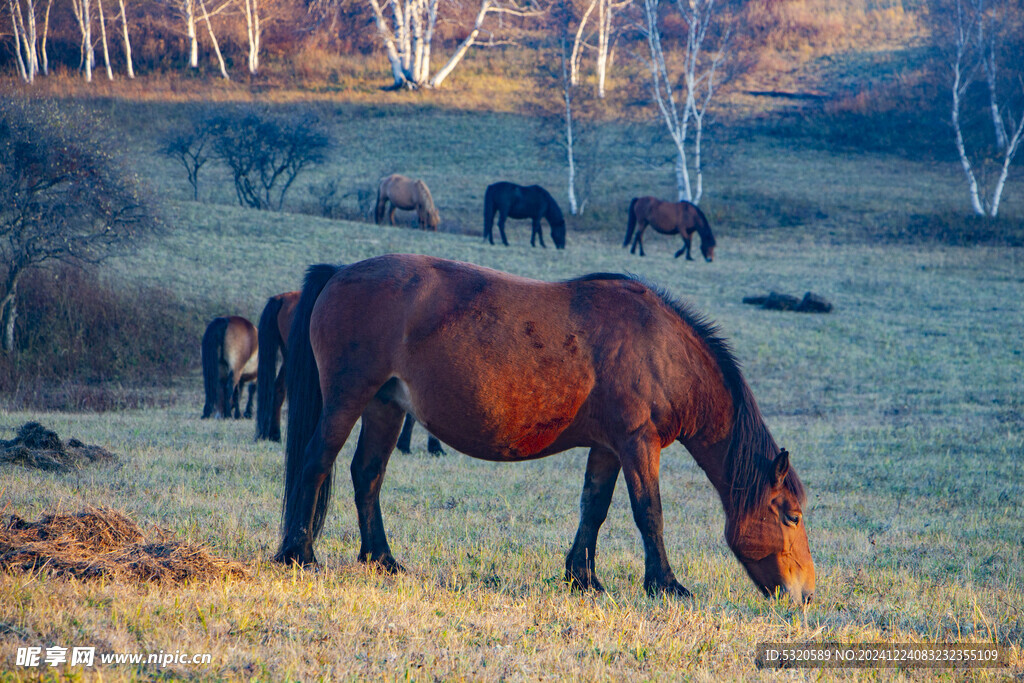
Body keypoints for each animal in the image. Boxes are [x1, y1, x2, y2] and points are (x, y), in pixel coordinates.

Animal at [272, 254, 815, 602]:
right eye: (790, 516)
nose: (806, 594)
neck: (660, 349)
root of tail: (339, 274)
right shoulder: (637, 444)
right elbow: (649, 513)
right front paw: (666, 585)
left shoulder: (608, 448)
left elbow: (595, 507)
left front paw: (583, 578)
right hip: (347, 398)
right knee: (316, 464)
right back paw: (299, 554)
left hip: (385, 406)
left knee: (367, 475)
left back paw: (382, 558)